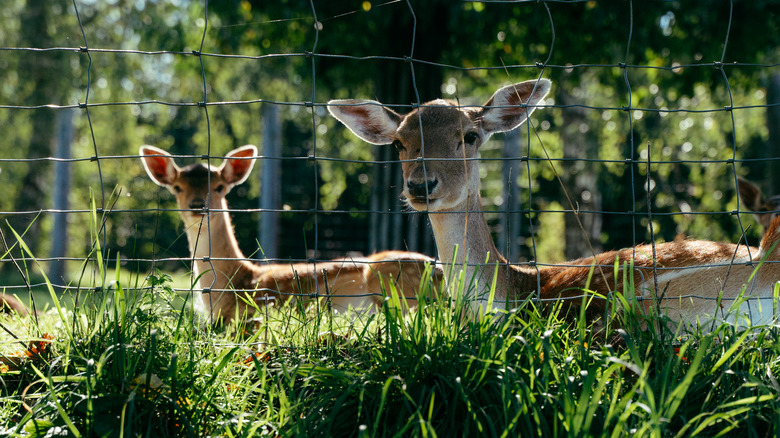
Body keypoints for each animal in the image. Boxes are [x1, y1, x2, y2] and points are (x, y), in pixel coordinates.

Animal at [328, 78, 780, 326]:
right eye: (400, 142)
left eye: (469, 136)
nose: (421, 185)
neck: (514, 294)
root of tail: (765, 266)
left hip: (655, 303)